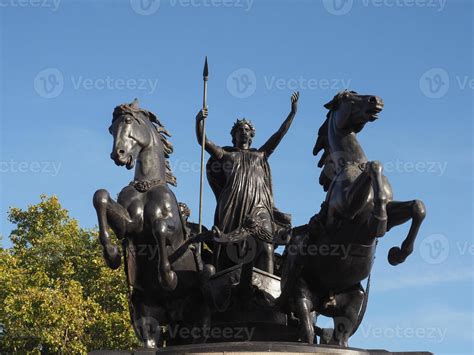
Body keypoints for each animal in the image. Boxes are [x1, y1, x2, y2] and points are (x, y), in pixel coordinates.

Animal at [92, 99, 207, 348]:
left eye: (127, 121)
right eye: (111, 129)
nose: (118, 154)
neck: (147, 186)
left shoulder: (173, 231)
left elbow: (159, 228)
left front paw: (169, 277)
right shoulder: (129, 225)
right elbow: (101, 197)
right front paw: (112, 254)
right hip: (146, 311)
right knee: (150, 338)